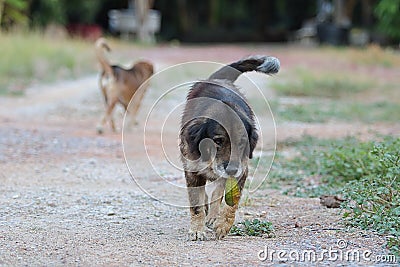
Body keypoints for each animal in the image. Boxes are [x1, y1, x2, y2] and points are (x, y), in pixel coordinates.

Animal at [180, 55, 280, 241]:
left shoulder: (242, 169)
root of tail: (219, 79)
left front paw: (223, 225)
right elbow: (196, 204)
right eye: (218, 141)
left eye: (241, 143)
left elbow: (232, 201)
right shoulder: (191, 169)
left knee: (218, 190)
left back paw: (213, 216)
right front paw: (197, 230)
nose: (232, 169)